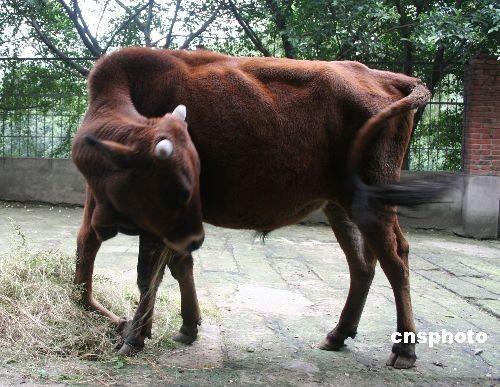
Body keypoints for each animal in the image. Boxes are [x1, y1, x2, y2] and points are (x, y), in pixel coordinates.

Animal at [70, 47, 446, 368]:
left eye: (182, 187)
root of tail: (386, 78)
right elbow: (176, 266)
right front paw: (185, 327)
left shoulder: (158, 227)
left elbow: (149, 275)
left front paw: (133, 338)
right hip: (341, 205)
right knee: (363, 263)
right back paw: (338, 335)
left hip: (372, 202)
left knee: (396, 260)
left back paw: (404, 351)